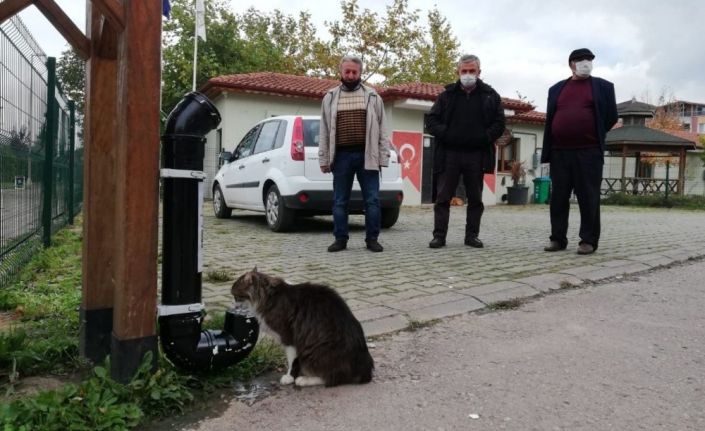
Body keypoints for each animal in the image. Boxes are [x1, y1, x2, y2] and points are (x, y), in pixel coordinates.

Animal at [231, 270, 374, 388]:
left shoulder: (288, 337)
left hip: (315, 352)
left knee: (331, 377)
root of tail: (365, 368)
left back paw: (304, 380)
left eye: (236, 297)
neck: (269, 296)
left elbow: (292, 361)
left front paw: (289, 377)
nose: (234, 306)